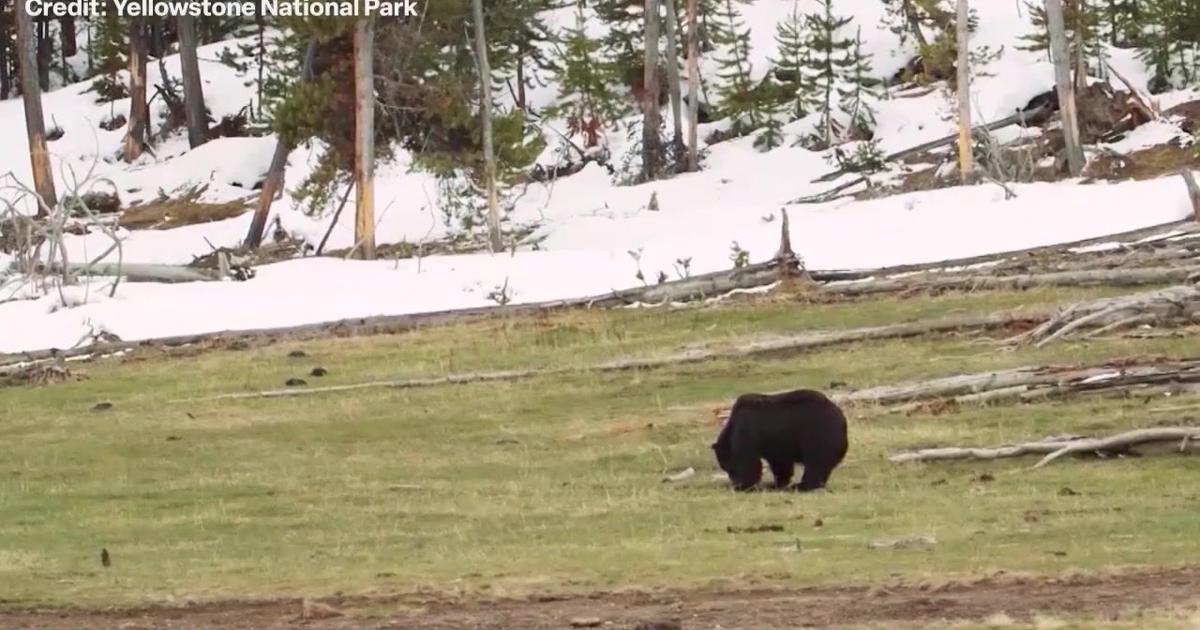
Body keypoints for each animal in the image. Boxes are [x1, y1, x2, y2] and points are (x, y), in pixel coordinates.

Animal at [711, 389, 848, 492]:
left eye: (728, 467)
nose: (733, 483)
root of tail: (841, 417)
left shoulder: (748, 432)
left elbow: (748, 462)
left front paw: (745, 486)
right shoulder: (776, 443)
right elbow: (780, 464)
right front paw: (777, 483)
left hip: (817, 434)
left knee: (815, 464)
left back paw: (802, 486)